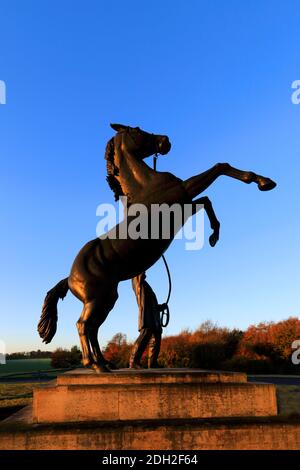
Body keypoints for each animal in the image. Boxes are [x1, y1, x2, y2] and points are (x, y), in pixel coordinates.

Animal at [38, 123, 276, 372]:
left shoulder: (185, 204)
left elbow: (207, 201)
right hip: (97, 299)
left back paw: (104, 363)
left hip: (107, 298)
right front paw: (264, 182)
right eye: (137, 129)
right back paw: (95, 365)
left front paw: (214, 235)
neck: (146, 185)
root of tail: (69, 277)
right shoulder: (184, 192)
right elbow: (220, 168)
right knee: (83, 325)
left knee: (93, 328)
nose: (165, 141)